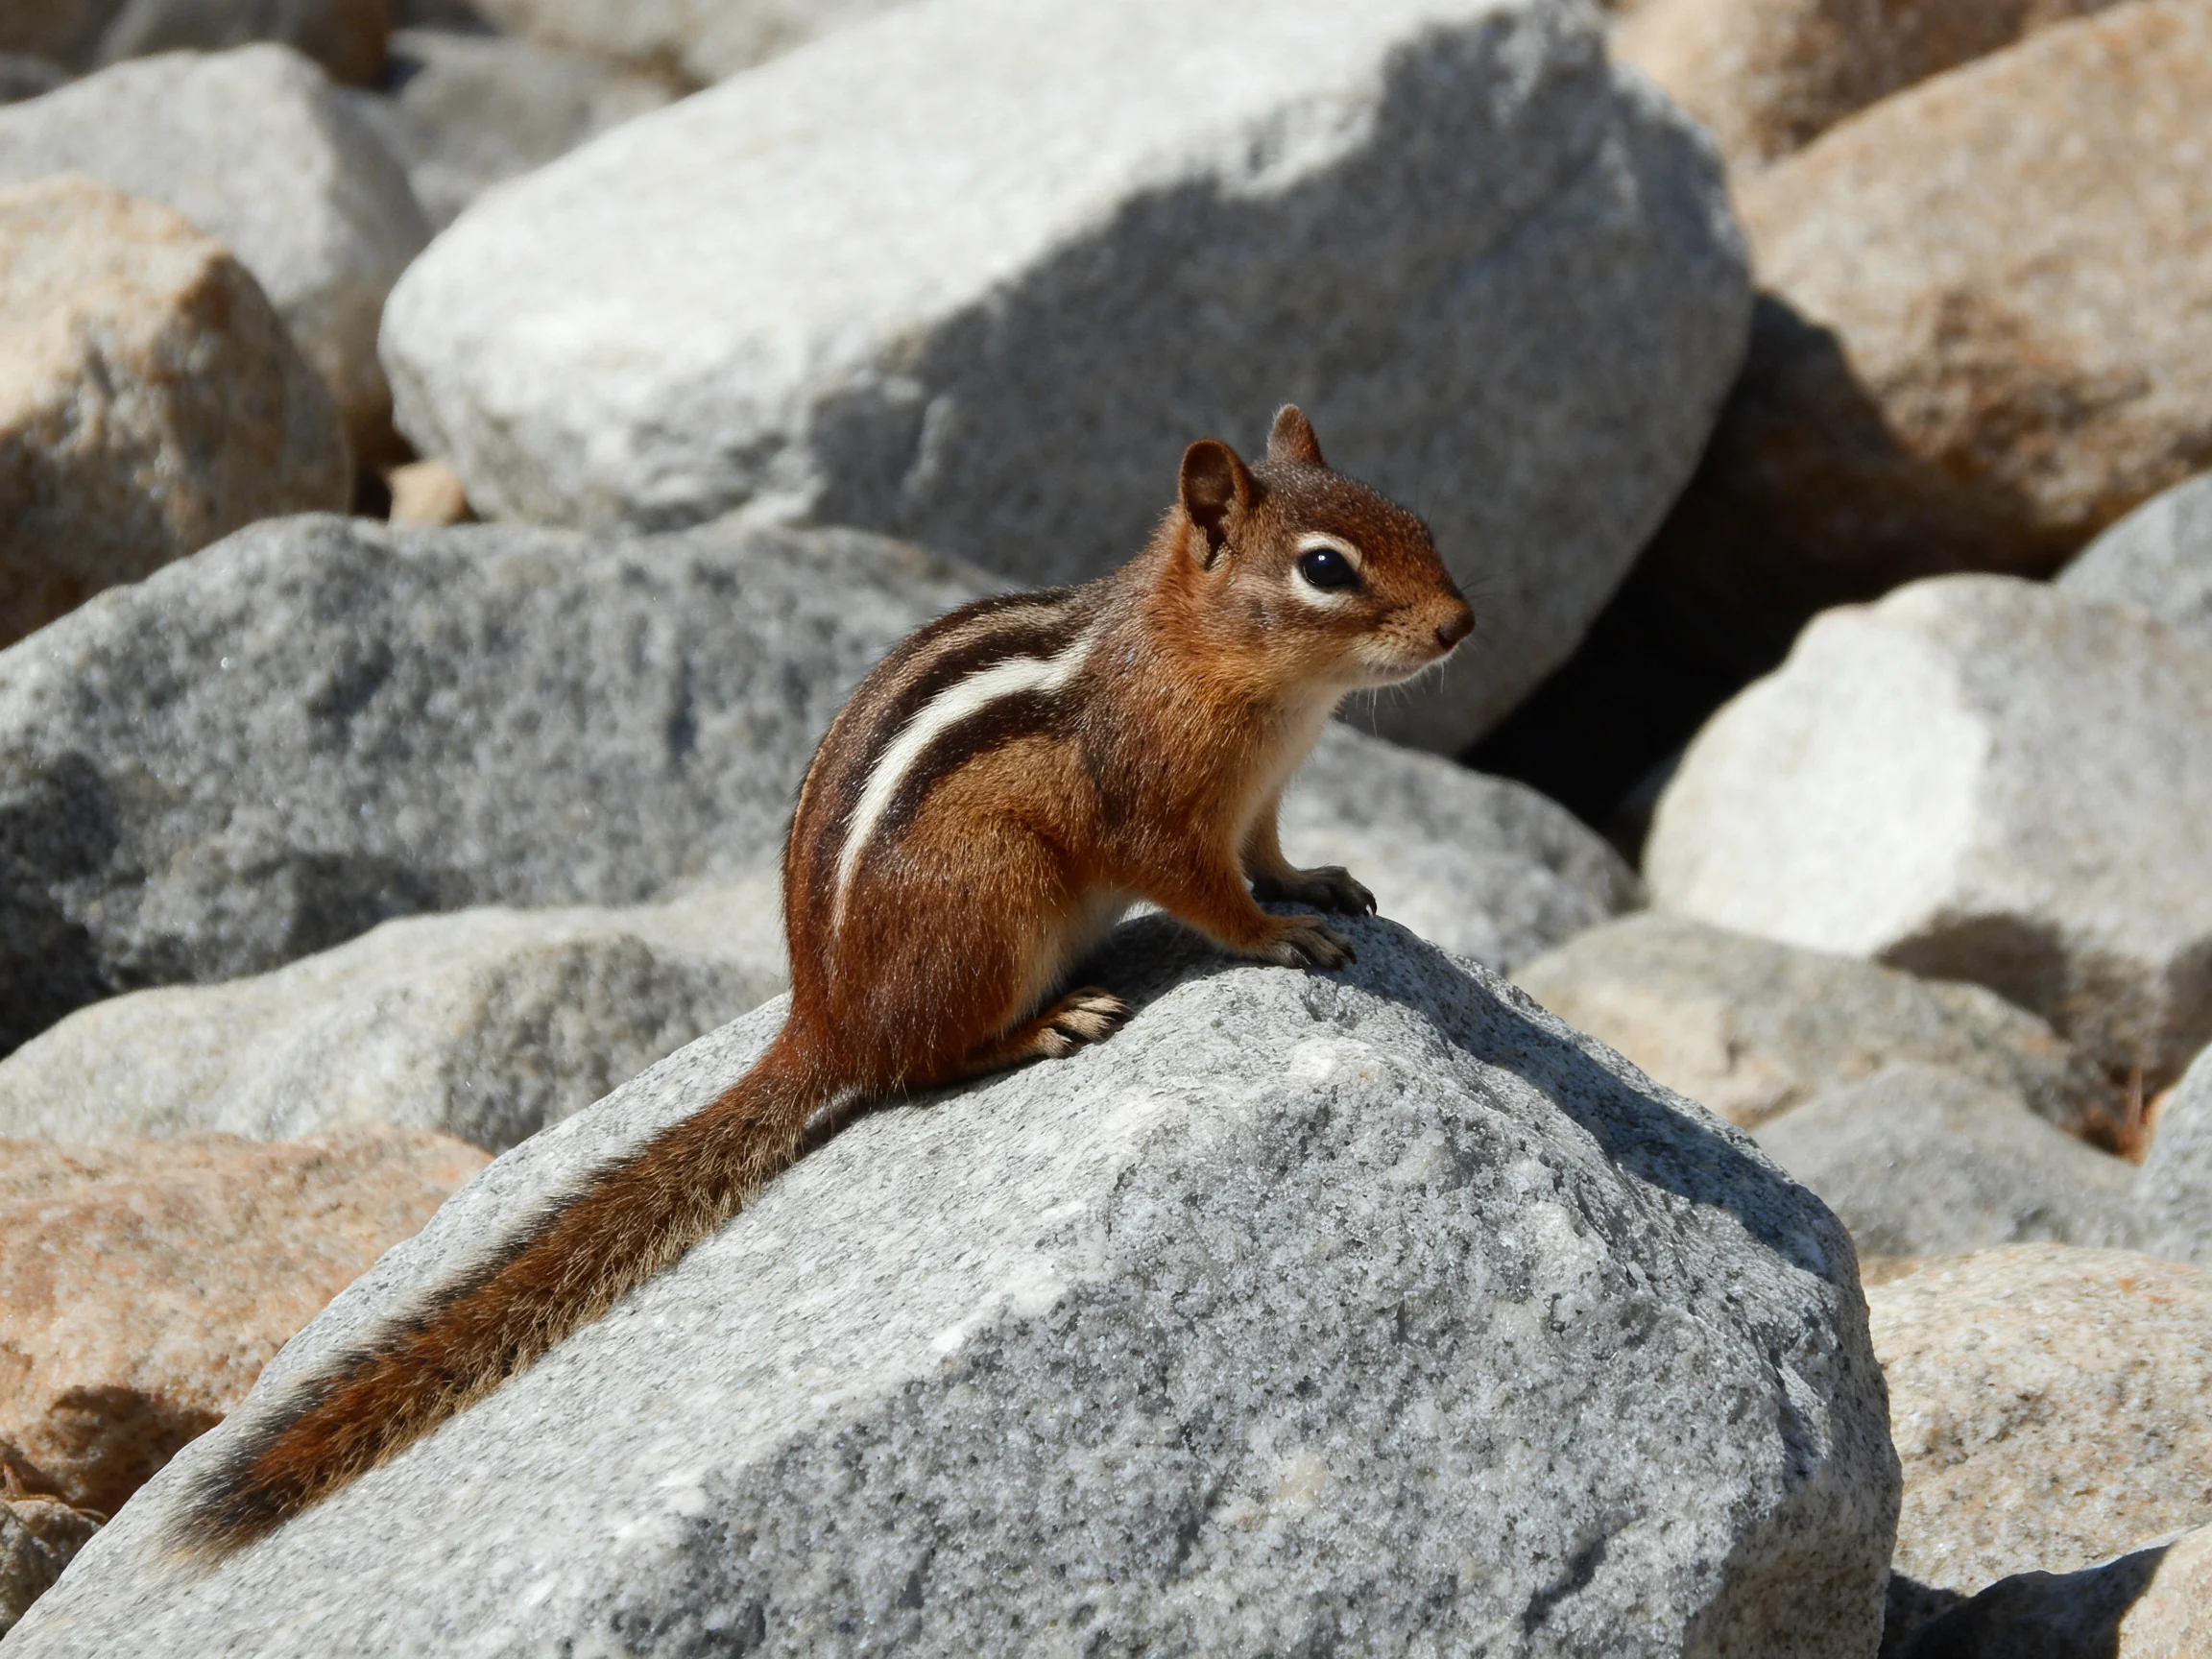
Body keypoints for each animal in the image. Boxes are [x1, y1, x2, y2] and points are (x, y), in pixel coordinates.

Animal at [174, 405, 1475, 1558]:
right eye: (1325, 568)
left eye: (1417, 517)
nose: (1463, 626)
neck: (1234, 672)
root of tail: (822, 1017)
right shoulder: (1160, 815)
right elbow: (1209, 898)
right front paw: (1279, 938)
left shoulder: (1258, 801)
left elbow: (1272, 856)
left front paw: (1321, 883)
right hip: (994, 899)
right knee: (924, 1060)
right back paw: (1048, 1024)